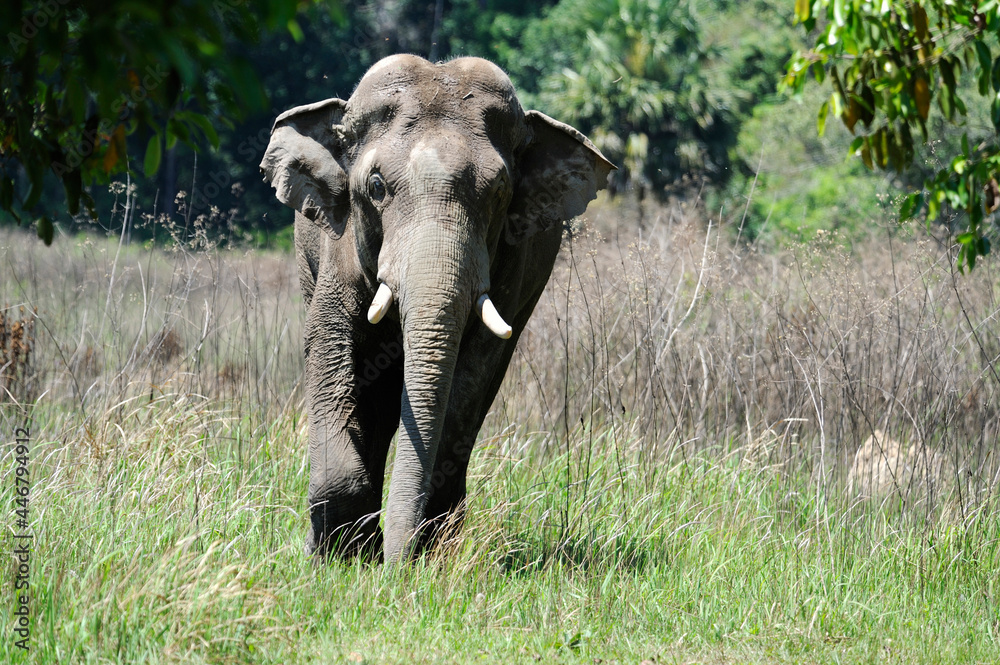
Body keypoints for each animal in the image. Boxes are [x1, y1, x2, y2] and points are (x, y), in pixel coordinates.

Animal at [260, 54, 614, 563]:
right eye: (376, 186)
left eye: (500, 193)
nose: (396, 568)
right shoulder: (338, 248)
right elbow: (331, 350)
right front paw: (333, 557)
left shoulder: (511, 267)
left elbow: (472, 372)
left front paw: (421, 551)